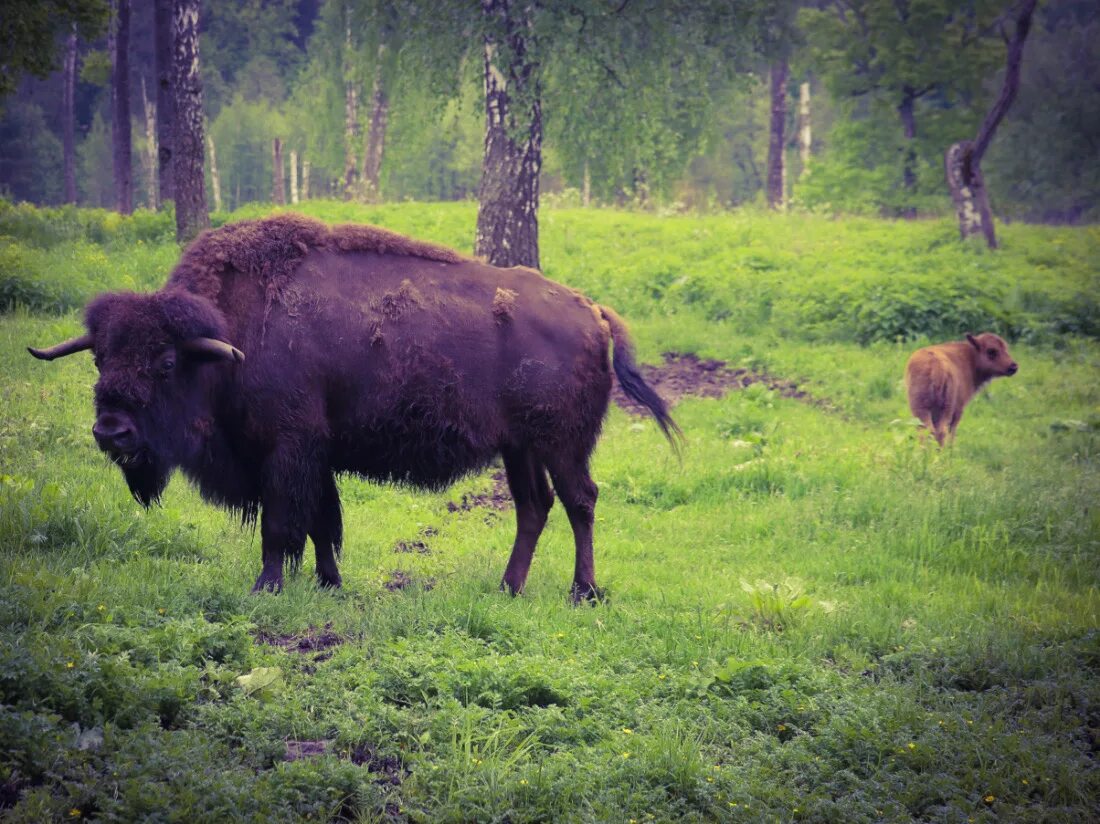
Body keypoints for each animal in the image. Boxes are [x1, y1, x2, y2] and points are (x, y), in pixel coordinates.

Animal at [27, 213, 677, 598]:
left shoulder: (288, 450)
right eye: (99, 359)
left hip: (563, 445)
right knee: (534, 506)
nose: (111, 431)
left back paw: (581, 592)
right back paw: (507, 587)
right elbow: (322, 523)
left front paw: (268, 587)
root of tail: (591, 309)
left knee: (580, 501)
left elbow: (282, 525)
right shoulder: (316, 457)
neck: (228, 337)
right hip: (520, 447)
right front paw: (329, 584)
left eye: (165, 363)